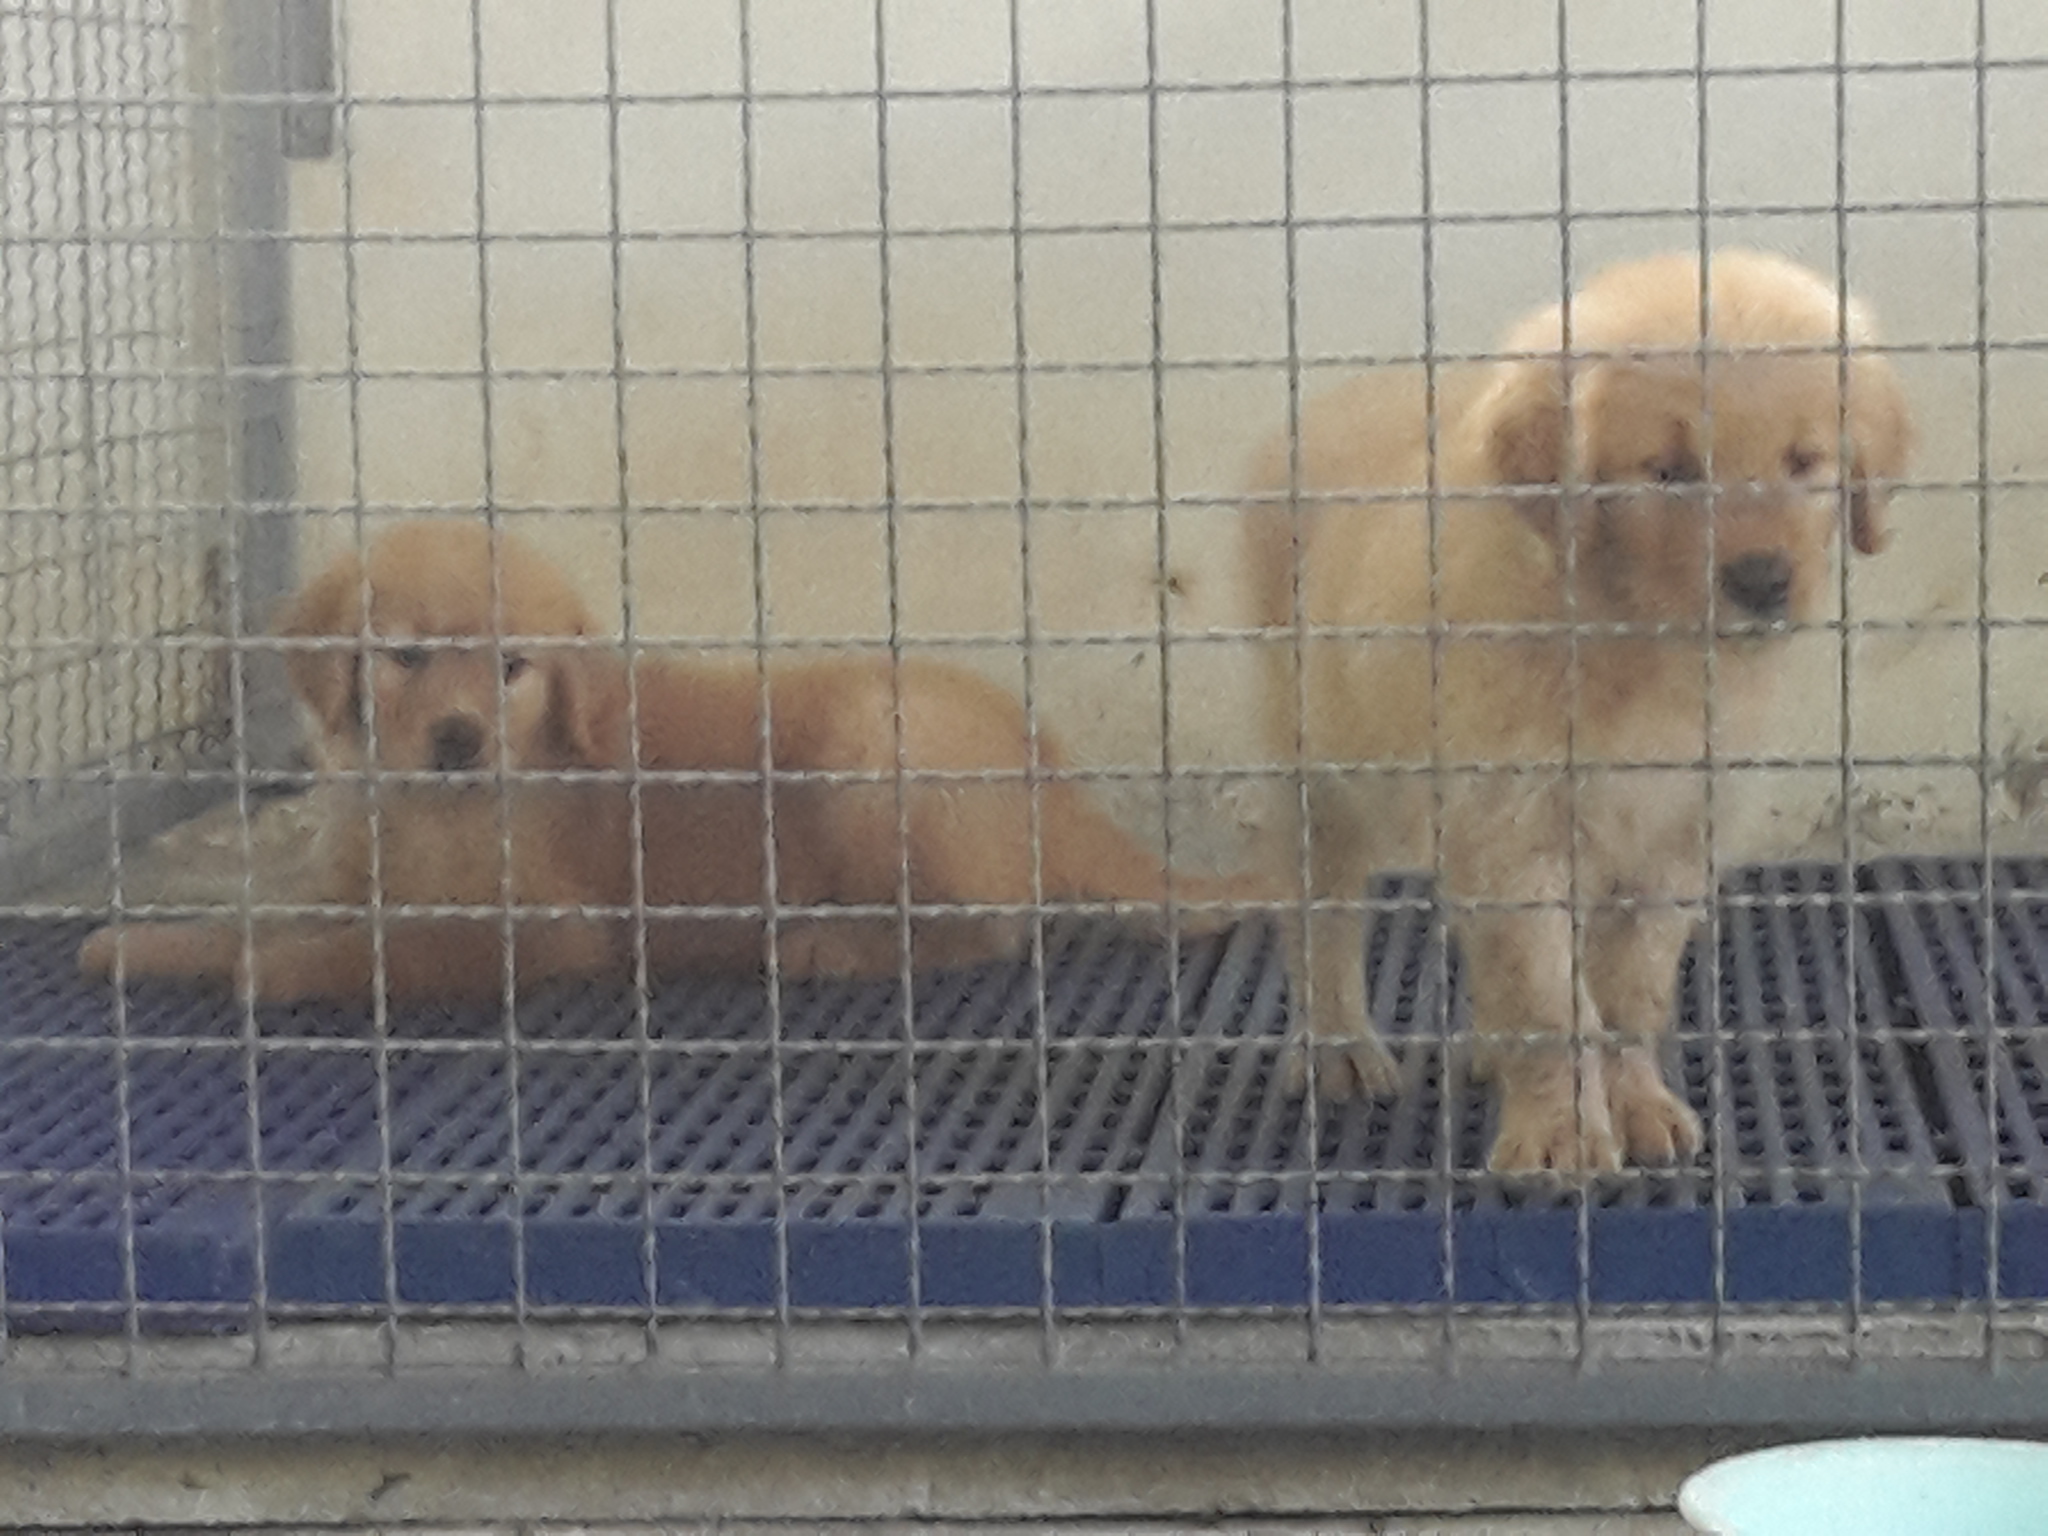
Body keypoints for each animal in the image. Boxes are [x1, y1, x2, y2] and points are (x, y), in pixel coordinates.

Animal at [80, 520, 1246, 1004]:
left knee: (989, 926)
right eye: (406, 656)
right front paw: (145, 944)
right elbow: (263, 913)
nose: (458, 739)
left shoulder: (542, 927)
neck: (418, 806)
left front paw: (273, 973)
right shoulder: (347, 880)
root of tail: (1047, 765)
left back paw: (831, 943)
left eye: (512, 669)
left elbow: (388, 952)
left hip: (877, 744)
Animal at [1243, 249, 1913, 1173]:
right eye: (1668, 470)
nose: (1763, 582)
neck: (1634, 639)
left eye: (1806, 460)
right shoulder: (1513, 828)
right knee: (1321, 917)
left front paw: (1636, 1106)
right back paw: (1337, 1048)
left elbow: (1628, 992)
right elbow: (1549, 1000)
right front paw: (1560, 1131)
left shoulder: (1673, 840)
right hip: (1317, 772)